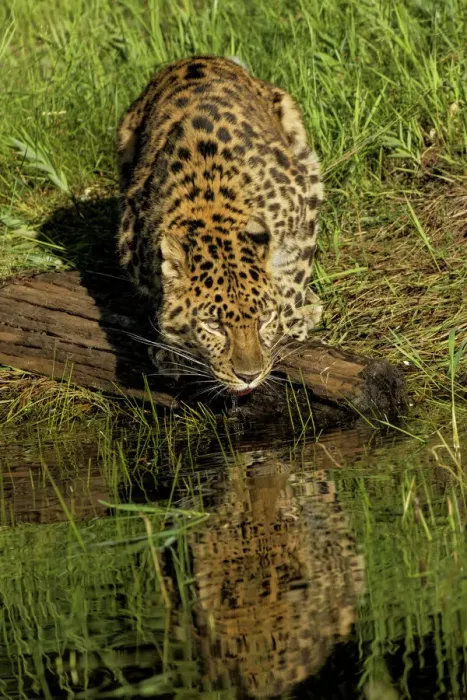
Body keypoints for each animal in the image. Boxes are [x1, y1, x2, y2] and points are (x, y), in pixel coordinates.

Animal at [117, 56, 323, 395]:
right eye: (214, 326)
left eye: (263, 318)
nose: (249, 375)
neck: (211, 207)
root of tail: (195, 58)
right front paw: (169, 351)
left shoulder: (303, 203)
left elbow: (292, 280)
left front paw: (291, 326)